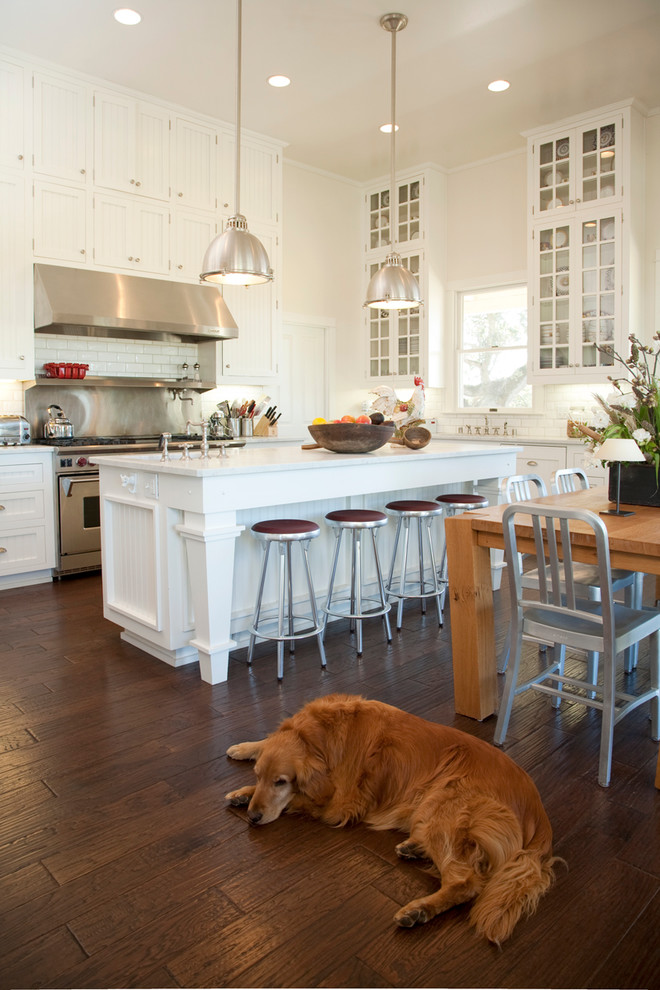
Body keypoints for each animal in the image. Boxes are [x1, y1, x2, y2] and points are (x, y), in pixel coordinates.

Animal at [224, 692, 560, 940]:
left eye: (281, 781)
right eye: (260, 775)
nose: (253, 816)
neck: (320, 737)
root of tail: (539, 812)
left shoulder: (340, 804)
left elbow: (301, 799)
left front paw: (245, 793)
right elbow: (267, 742)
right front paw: (244, 752)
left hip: (442, 802)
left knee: (466, 881)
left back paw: (418, 910)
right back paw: (413, 848)